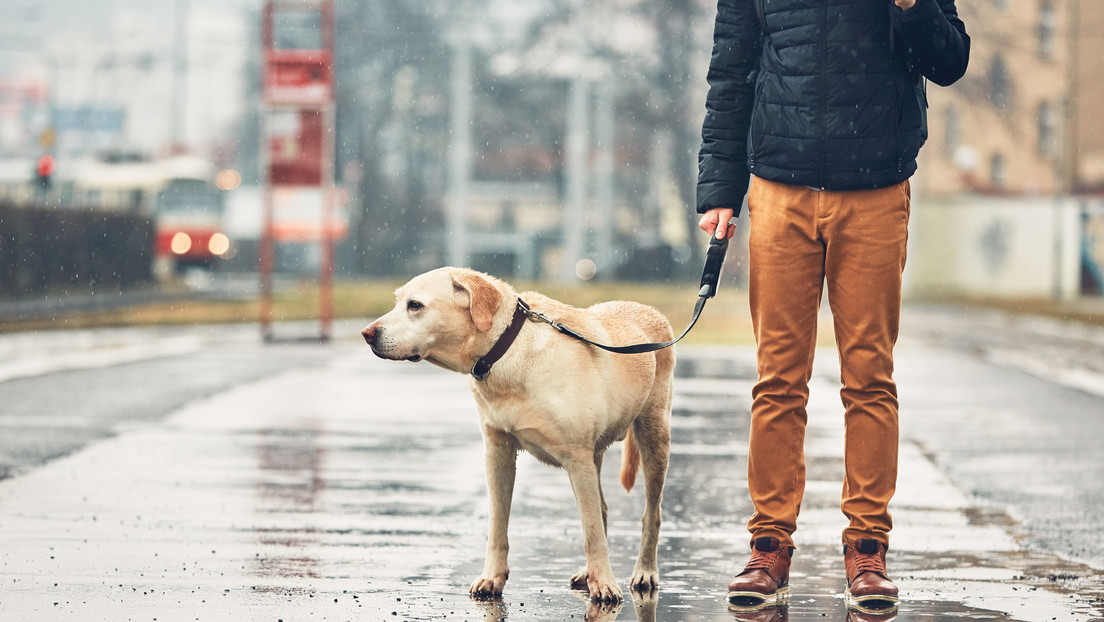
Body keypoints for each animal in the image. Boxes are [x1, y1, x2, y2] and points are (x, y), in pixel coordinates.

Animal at [362, 268, 671, 605]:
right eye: (397, 302)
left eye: (415, 305)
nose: (367, 333)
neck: (506, 349)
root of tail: (649, 309)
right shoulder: (498, 451)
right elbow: (498, 523)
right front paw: (492, 577)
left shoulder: (577, 458)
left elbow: (591, 531)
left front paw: (603, 583)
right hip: (596, 455)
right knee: (601, 508)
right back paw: (586, 572)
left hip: (653, 436)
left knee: (650, 514)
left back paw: (644, 572)